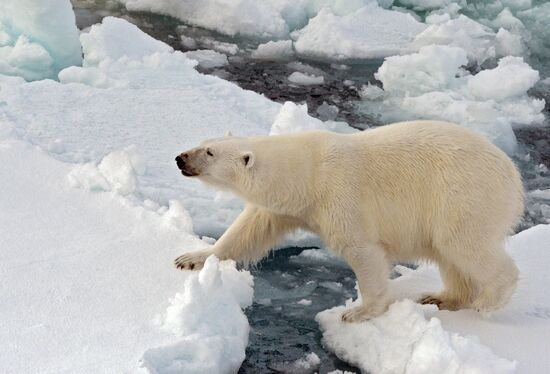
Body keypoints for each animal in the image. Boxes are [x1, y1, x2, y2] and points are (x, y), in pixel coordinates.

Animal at [175, 121, 524, 322]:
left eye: (209, 152)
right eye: (203, 142)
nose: (180, 158)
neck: (308, 174)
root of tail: (513, 174)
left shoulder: (340, 197)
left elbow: (362, 249)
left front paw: (359, 311)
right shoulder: (286, 207)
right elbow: (248, 230)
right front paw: (192, 258)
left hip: (462, 195)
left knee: (463, 244)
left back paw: (488, 301)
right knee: (449, 256)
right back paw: (441, 297)